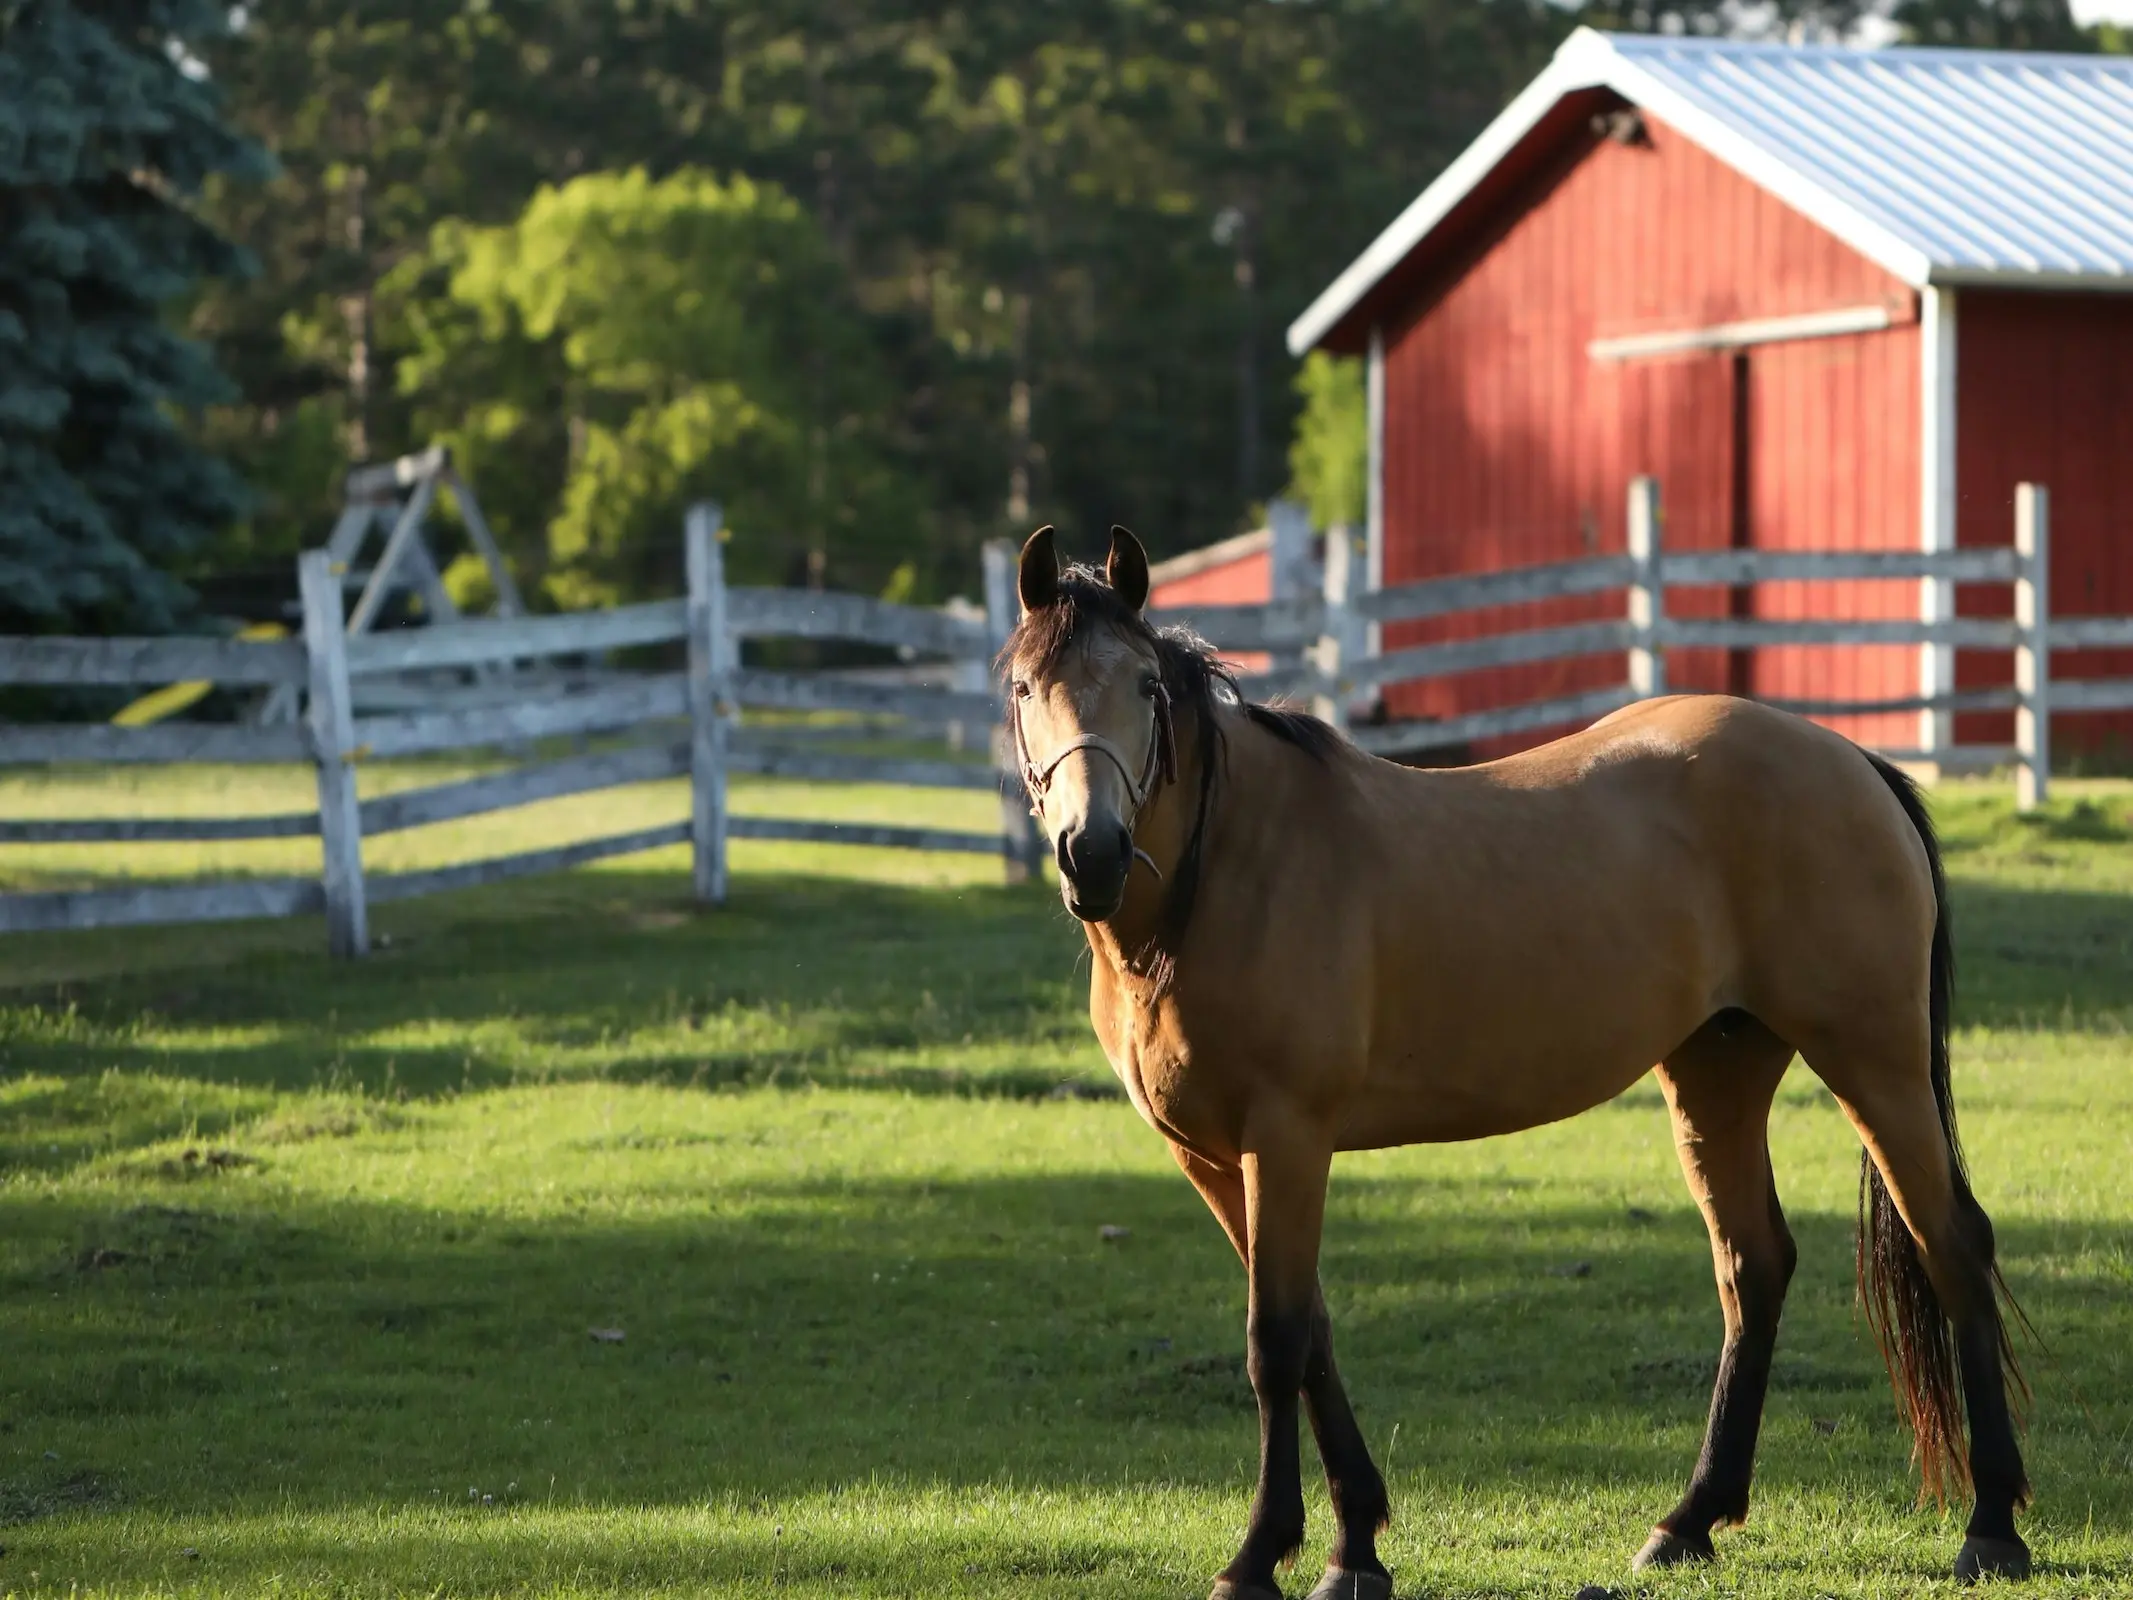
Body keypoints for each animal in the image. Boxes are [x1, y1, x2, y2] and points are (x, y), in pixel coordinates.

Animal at [998, 526, 2030, 1600]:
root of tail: (1850, 760)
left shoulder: (1284, 1139)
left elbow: (1275, 1342)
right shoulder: (1210, 1157)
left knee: (1953, 1244)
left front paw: (1260, 1556)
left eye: (1146, 686)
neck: (1233, 870)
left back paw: (1991, 1527)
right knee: (1753, 1266)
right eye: (1024, 688)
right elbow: (1311, 1330)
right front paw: (1355, 1543)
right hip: (1718, 1070)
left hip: (1875, 1061)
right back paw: (1688, 1521)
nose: (1091, 853)